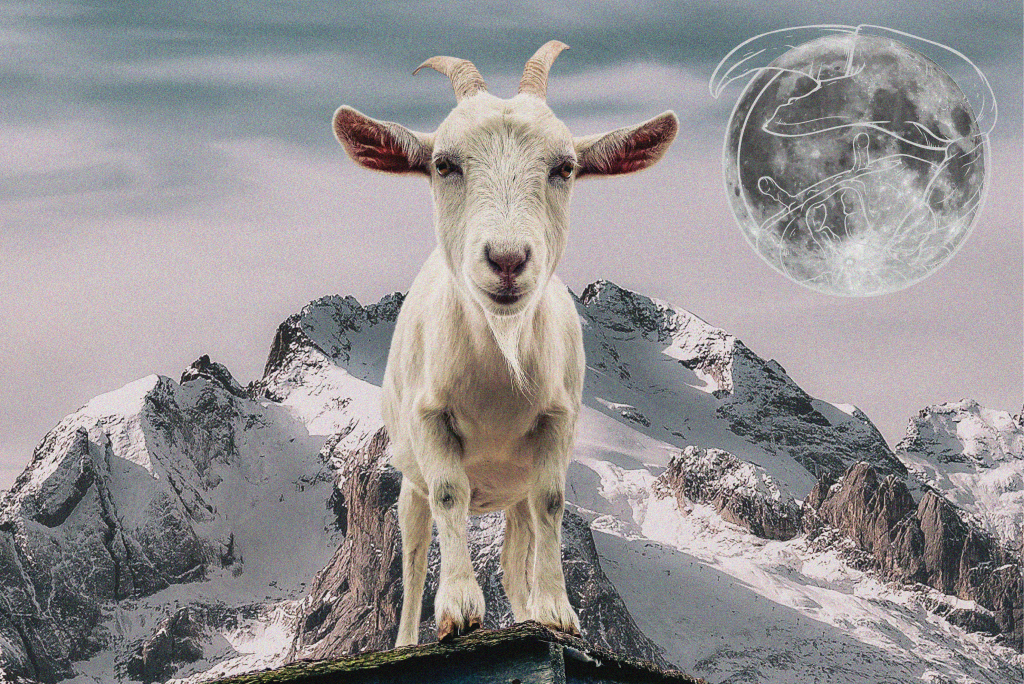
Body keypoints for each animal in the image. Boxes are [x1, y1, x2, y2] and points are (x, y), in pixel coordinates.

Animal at [332, 41, 677, 646]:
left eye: (565, 168)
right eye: (443, 164)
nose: (508, 259)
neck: (501, 355)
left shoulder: (556, 422)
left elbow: (552, 503)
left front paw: (558, 611)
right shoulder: (431, 418)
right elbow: (450, 493)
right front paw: (459, 609)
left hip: (510, 498)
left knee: (517, 559)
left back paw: (528, 609)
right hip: (407, 483)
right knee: (415, 555)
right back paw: (408, 637)